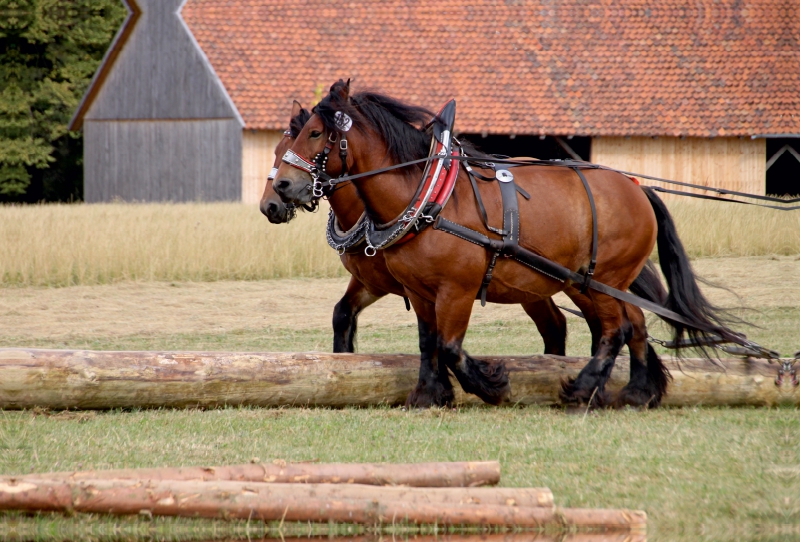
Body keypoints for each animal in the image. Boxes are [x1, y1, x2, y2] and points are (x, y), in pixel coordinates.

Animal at [260, 101, 568, 356]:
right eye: (277, 151)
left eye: (312, 137)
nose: (270, 203)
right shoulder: (371, 283)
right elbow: (342, 314)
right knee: (555, 325)